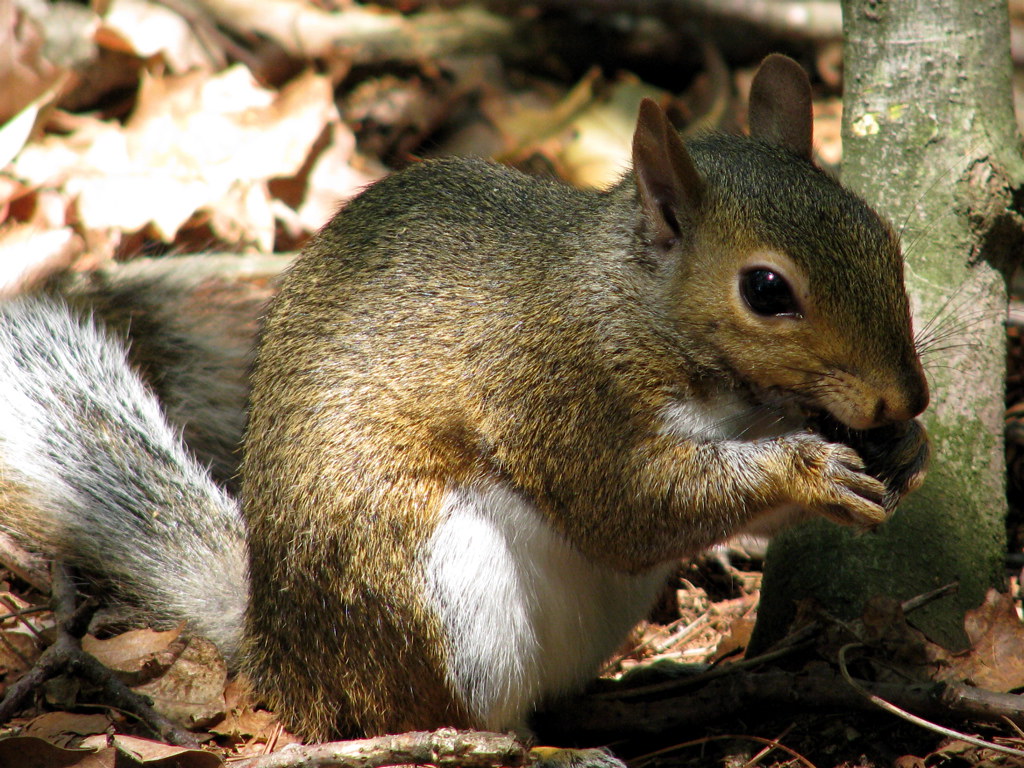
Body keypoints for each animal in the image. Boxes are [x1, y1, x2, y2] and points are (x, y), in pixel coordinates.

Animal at [0, 54, 929, 741]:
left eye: (886, 235)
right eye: (767, 291)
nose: (906, 400)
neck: (641, 310)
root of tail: (284, 658)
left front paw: (905, 456)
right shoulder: (560, 391)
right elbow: (631, 508)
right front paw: (808, 470)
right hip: (441, 594)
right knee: (432, 717)